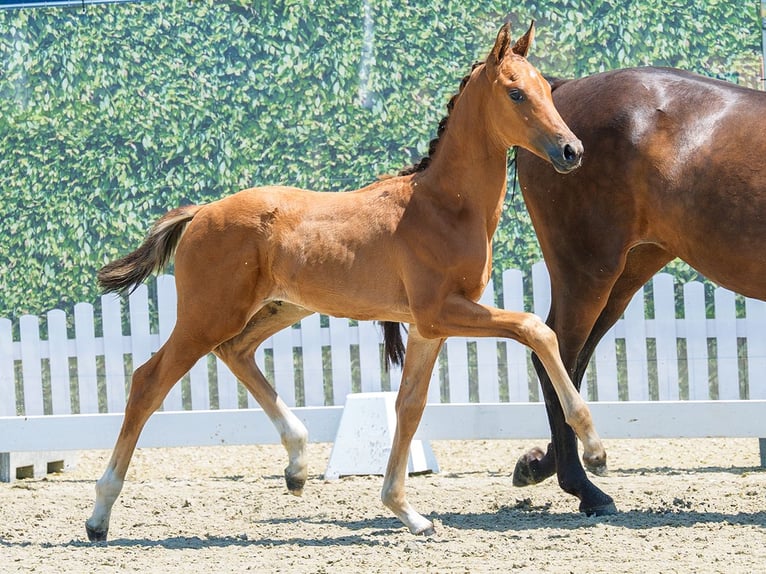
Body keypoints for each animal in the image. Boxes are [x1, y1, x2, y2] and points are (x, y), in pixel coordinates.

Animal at [85, 21, 609, 542]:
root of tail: (200, 213)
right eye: (516, 93)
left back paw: (297, 466)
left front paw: (407, 512)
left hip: (280, 307)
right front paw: (595, 449)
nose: (572, 150)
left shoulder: (427, 328)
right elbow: (535, 329)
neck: (444, 207)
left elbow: (409, 406)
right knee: (149, 381)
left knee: (236, 352)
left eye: (547, 90)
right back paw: (99, 516)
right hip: (208, 315)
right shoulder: (441, 311)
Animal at [513, 66, 766, 513]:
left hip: (625, 275)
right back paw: (585, 487)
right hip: (587, 272)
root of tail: (561, 90)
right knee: (557, 358)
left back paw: (544, 465)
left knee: (570, 363)